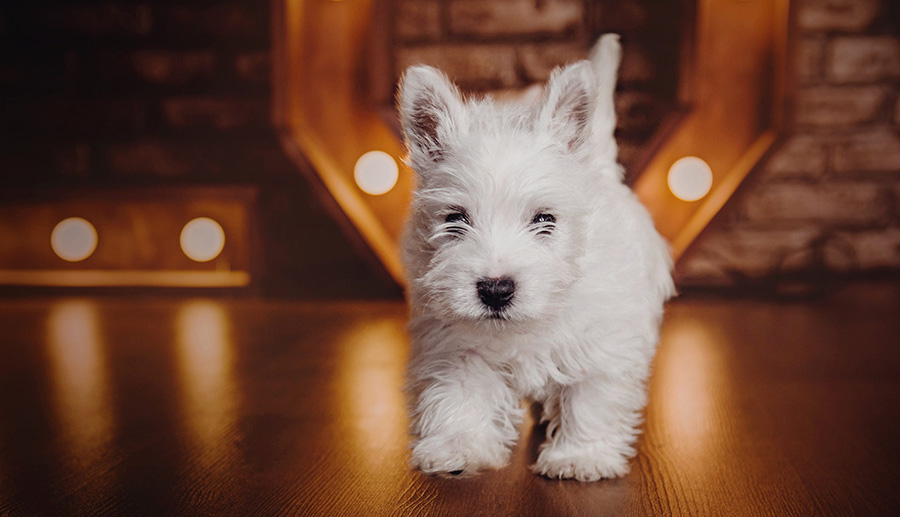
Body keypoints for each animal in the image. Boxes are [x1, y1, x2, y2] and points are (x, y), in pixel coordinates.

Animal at [398, 35, 672, 480]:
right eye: (455, 219)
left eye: (545, 220)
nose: (495, 290)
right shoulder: (455, 346)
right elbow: (458, 394)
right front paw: (458, 447)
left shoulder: (603, 344)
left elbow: (590, 399)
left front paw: (581, 456)